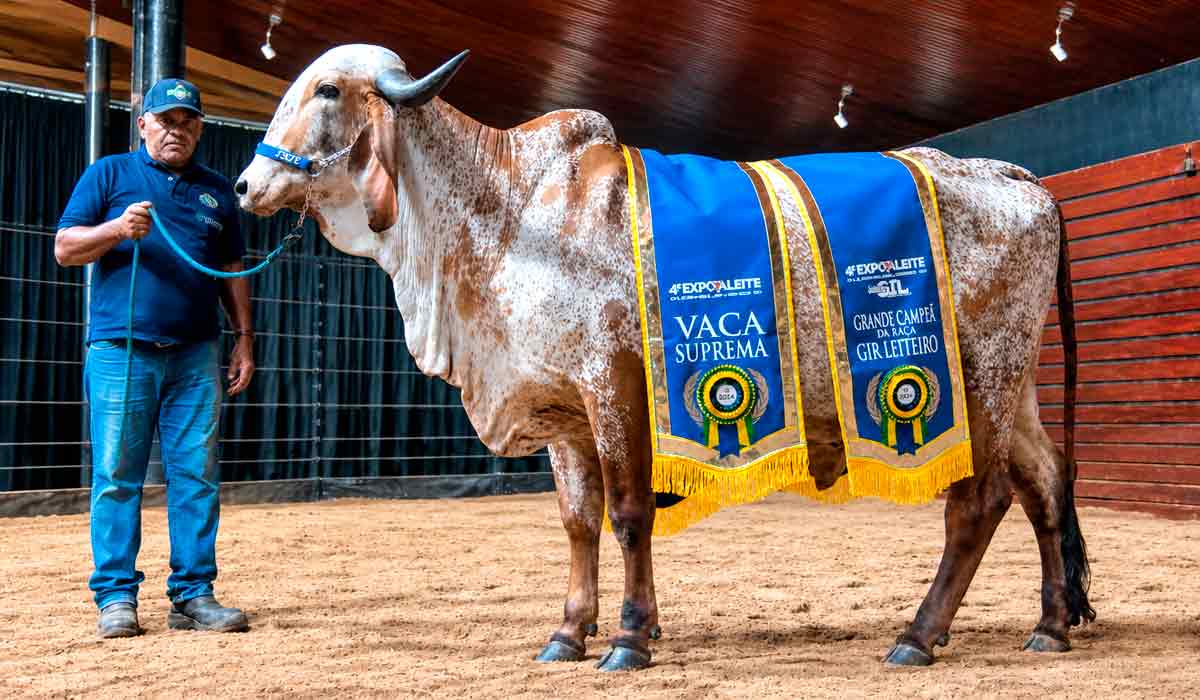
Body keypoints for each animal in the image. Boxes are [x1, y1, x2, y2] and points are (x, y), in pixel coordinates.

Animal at [236, 45, 1094, 671]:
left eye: (327, 92)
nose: (246, 183)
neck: (506, 213)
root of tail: (1017, 177)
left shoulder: (613, 389)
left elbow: (627, 515)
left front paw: (628, 637)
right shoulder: (565, 415)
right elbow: (577, 521)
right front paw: (568, 632)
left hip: (977, 380)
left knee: (980, 503)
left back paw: (918, 635)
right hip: (1014, 385)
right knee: (1046, 484)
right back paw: (1051, 623)